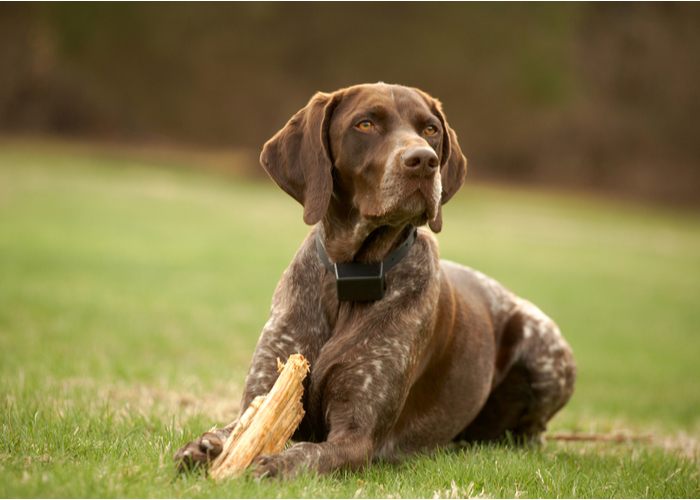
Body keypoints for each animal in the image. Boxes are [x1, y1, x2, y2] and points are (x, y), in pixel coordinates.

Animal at [174, 84, 576, 478]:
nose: (424, 161)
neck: (353, 275)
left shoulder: (357, 434)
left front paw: (274, 463)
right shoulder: (264, 393)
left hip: (546, 349)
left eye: (430, 129)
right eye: (365, 124)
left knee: (532, 432)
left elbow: (306, 453)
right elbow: (232, 430)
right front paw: (205, 447)